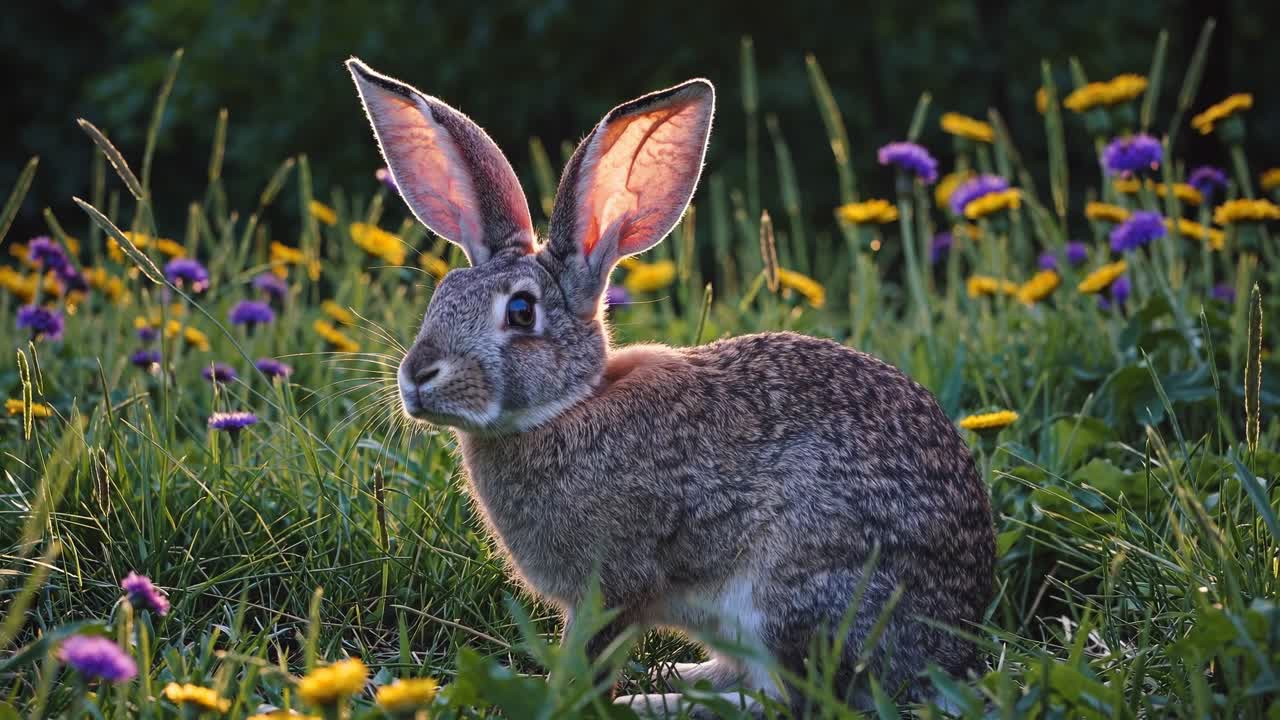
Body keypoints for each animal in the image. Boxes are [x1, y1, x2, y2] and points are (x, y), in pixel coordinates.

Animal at [348, 58, 994, 716]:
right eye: (442, 293)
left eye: (522, 313)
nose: (417, 376)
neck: (566, 409)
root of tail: (951, 645)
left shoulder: (611, 586)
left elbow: (590, 659)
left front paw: (560, 696)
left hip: (794, 596)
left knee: (791, 698)